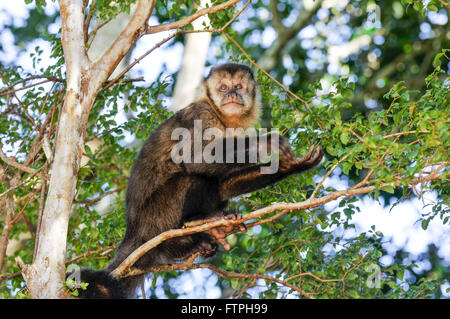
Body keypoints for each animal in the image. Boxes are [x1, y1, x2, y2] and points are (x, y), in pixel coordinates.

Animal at [72, 63, 322, 300]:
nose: (232, 94)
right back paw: (191, 227)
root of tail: (132, 232)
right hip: (157, 216)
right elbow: (196, 160)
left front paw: (292, 166)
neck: (221, 117)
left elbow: (224, 185)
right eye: (223, 88)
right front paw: (266, 143)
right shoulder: (201, 114)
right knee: (191, 177)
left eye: (238, 87)